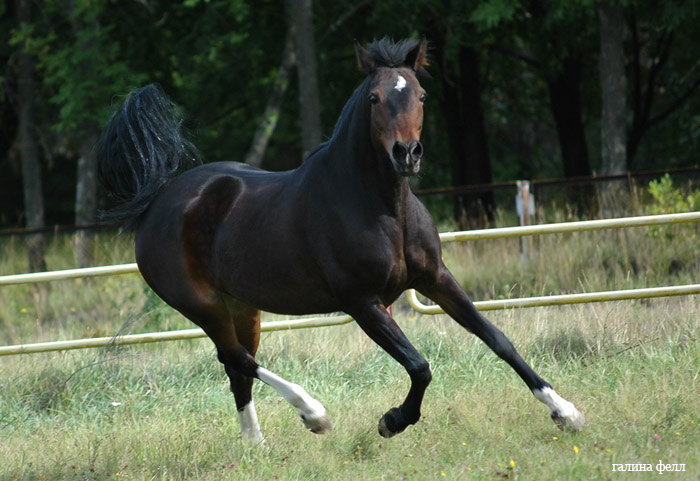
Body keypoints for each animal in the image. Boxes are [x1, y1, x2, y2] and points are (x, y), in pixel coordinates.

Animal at [95, 36, 584, 442]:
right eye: (374, 97)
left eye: (421, 95)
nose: (407, 154)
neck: (381, 206)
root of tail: (159, 199)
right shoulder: (363, 302)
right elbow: (420, 366)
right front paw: (392, 421)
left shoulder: (436, 279)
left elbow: (498, 339)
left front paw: (565, 411)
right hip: (203, 305)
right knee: (237, 358)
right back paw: (313, 414)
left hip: (242, 305)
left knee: (237, 368)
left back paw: (256, 448)